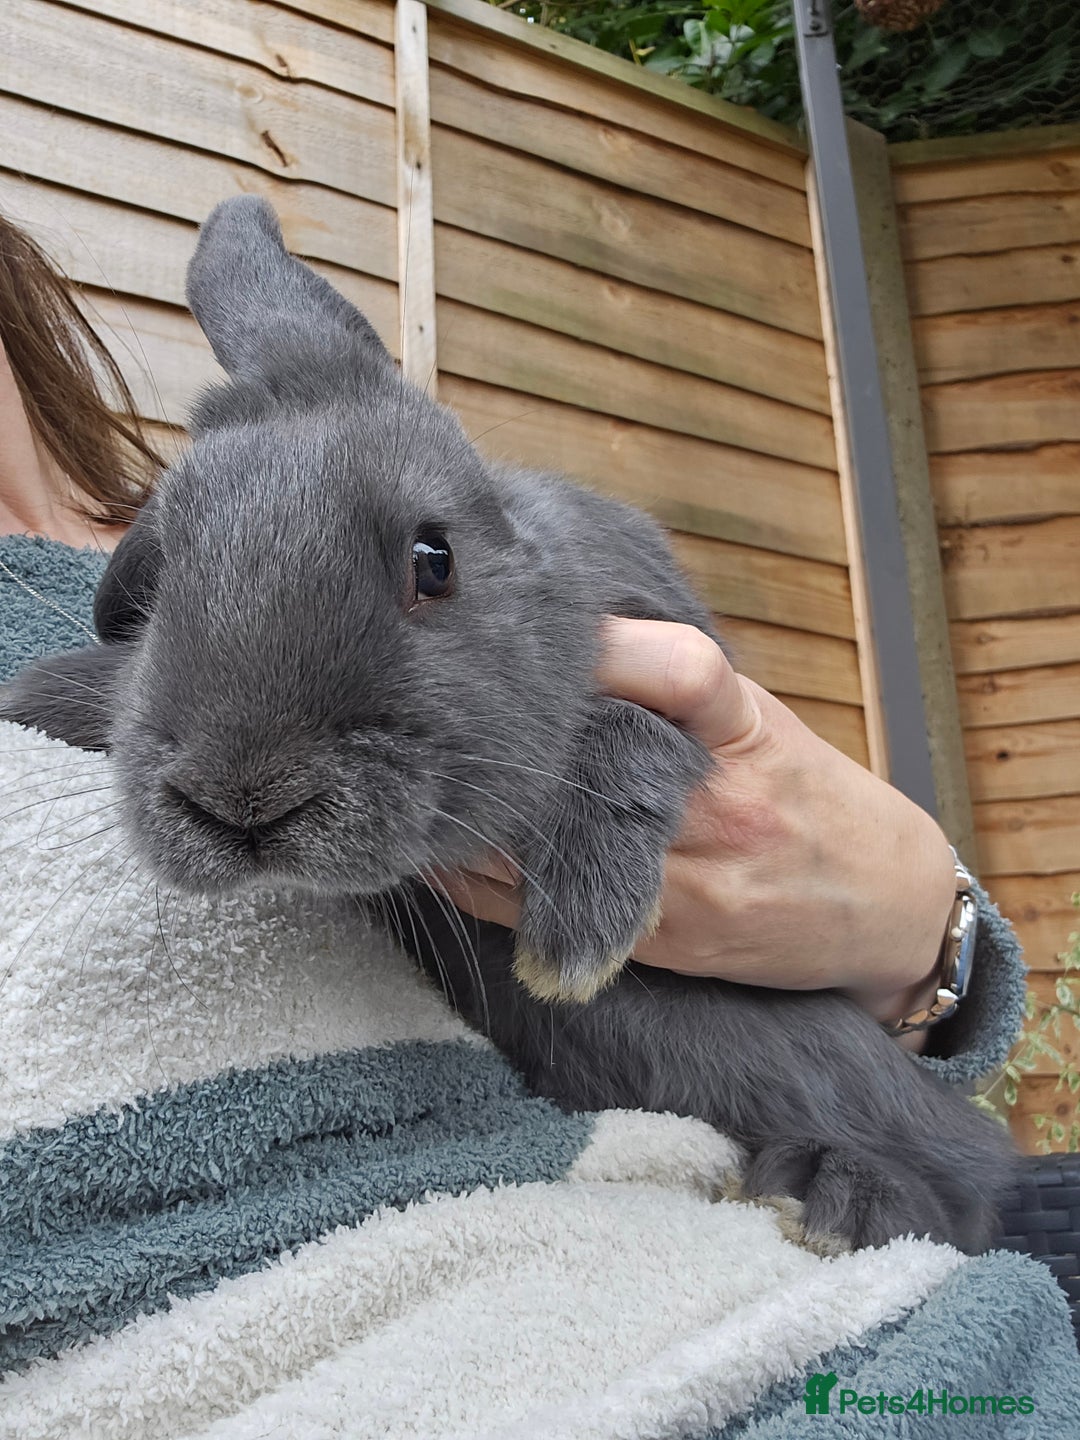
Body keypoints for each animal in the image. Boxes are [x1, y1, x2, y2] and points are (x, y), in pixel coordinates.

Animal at [0, 196, 1017, 1254]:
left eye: (433, 560)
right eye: (162, 572)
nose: (243, 797)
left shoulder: (674, 666)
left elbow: (626, 739)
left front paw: (577, 938)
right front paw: (45, 689)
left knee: (970, 1176)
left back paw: (838, 1196)